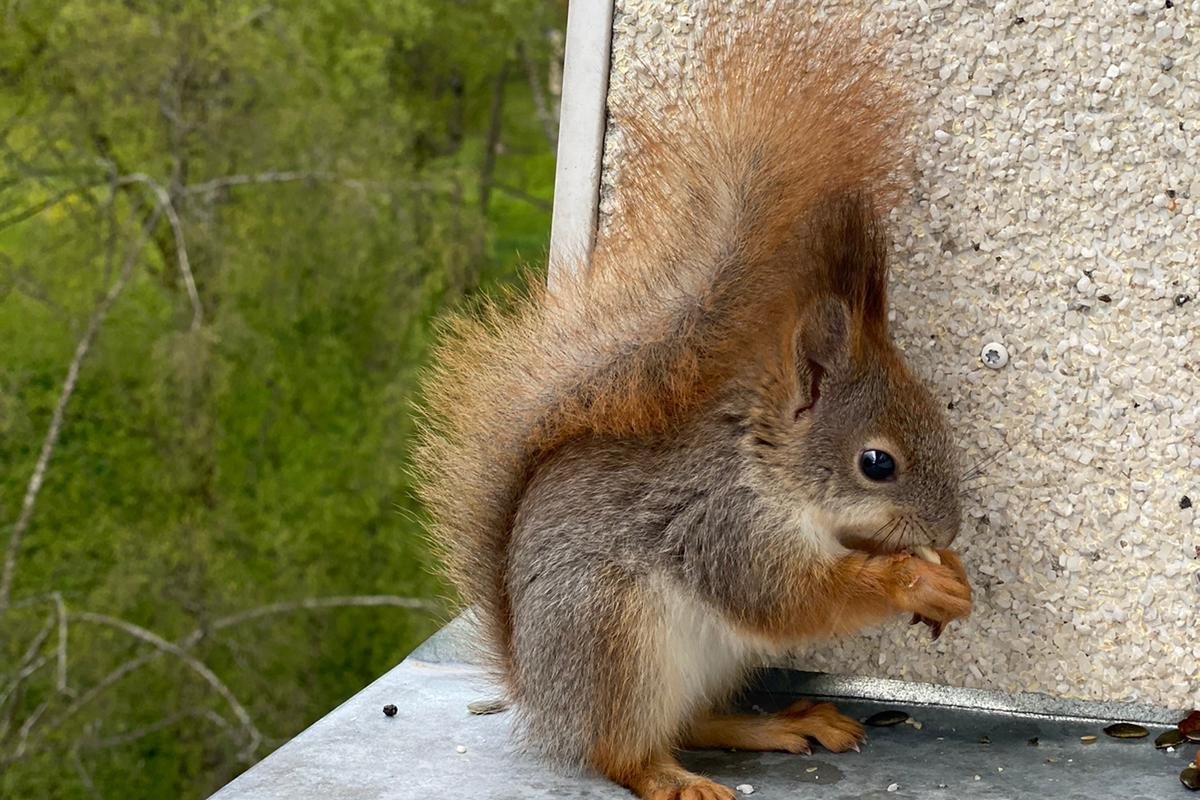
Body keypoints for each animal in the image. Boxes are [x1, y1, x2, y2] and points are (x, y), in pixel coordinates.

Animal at [417, 7, 969, 800]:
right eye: (877, 463)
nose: (948, 528)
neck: (767, 469)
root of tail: (541, 691)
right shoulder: (723, 525)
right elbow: (790, 600)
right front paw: (910, 577)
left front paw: (949, 577)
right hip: (618, 641)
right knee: (621, 751)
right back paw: (674, 778)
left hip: (711, 663)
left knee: (694, 723)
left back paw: (782, 724)